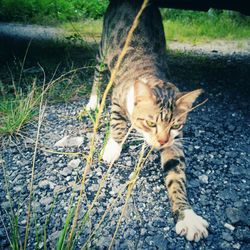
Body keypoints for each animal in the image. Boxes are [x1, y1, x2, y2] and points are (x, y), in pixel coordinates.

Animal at [87, 0, 208, 242]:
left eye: (175, 125)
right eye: (151, 123)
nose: (161, 141)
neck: (151, 74)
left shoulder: (175, 141)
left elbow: (175, 173)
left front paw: (187, 216)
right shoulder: (118, 96)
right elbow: (117, 122)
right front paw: (112, 149)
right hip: (104, 46)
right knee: (98, 71)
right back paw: (93, 101)